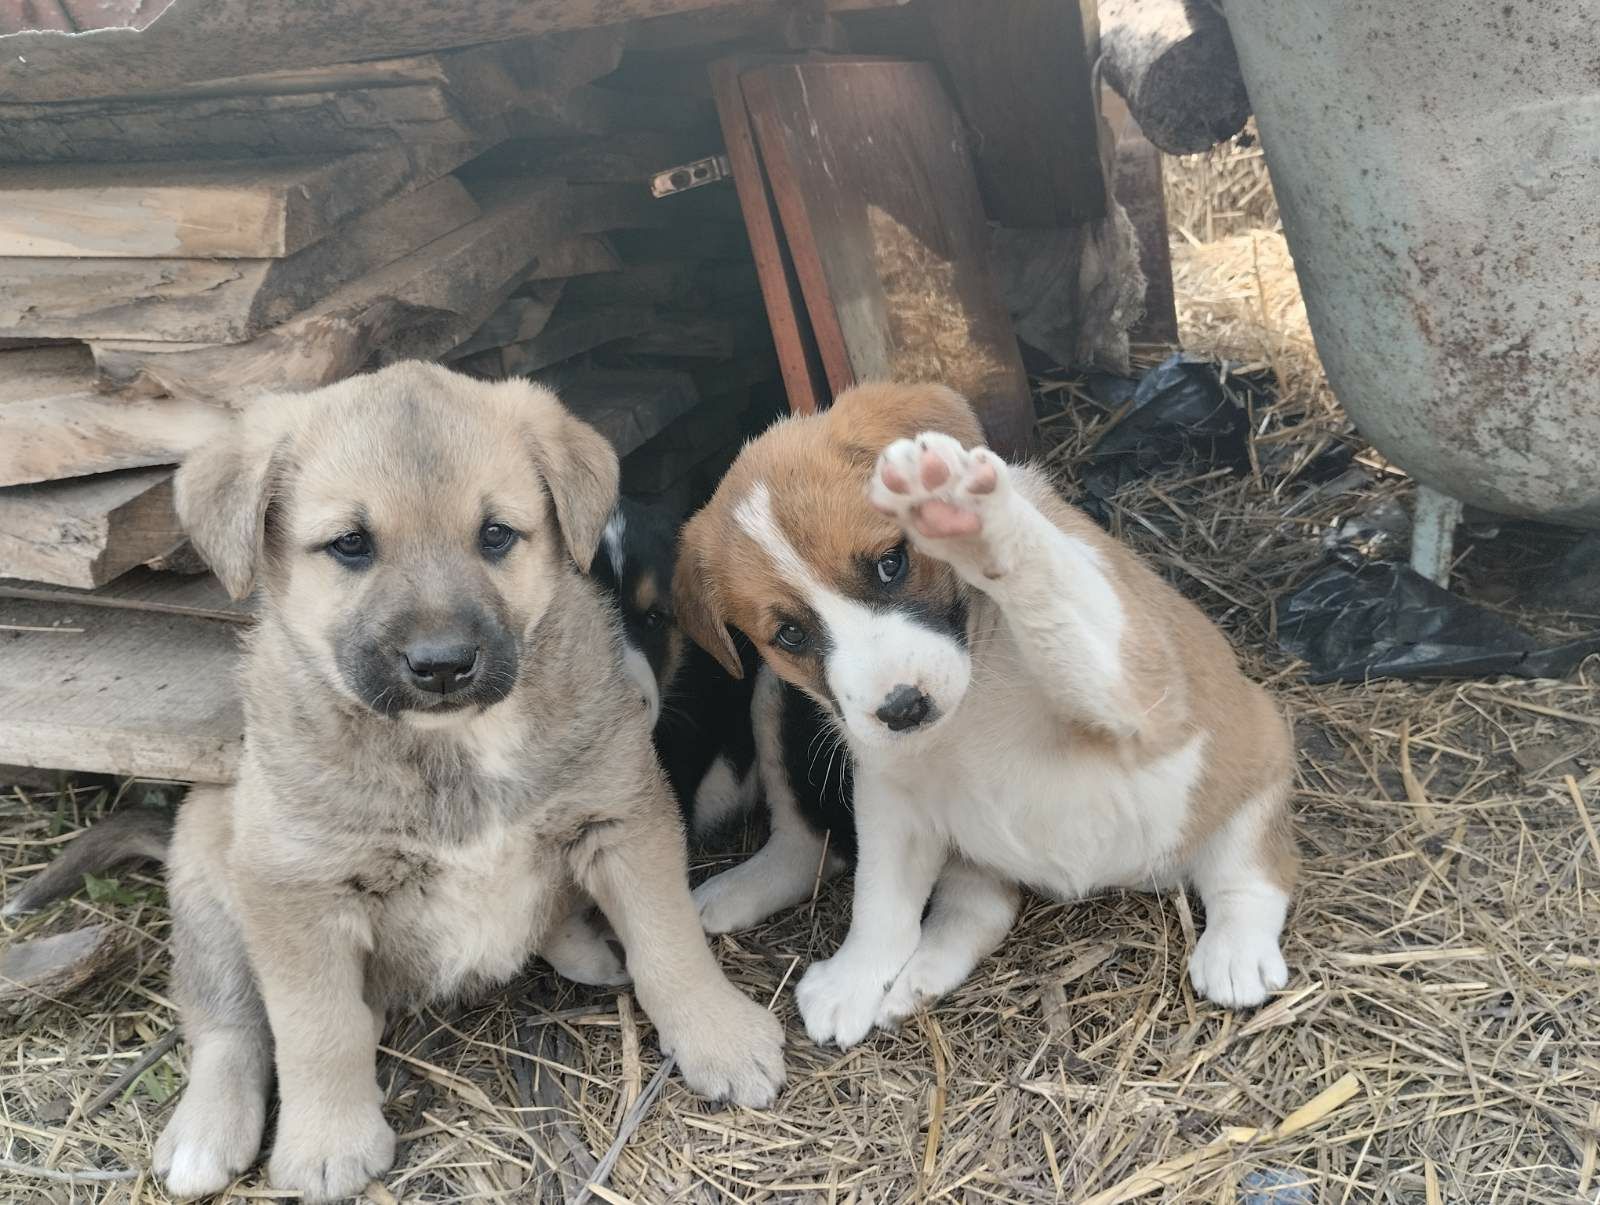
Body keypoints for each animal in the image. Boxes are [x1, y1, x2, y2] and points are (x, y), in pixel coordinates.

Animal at [150, 366, 780, 1203]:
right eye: (350, 544)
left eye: (496, 535)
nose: (443, 662)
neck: (455, 747)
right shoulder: (295, 891)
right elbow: (315, 1027)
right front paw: (328, 1142)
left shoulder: (621, 813)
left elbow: (670, 942)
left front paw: (722, 1037)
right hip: (207, 874)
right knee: (226, 1022)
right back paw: (203, 1134)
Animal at [678, 382, 1299, 1043]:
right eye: (790, 634)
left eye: (891, 564)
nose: (903, 707)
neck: (971, 693)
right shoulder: (891, 798)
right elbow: (881, 902)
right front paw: (856, 977)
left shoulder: (1137, 692)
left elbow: (1052, 585)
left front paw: (969, 514)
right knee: (973, 913)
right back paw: (908, 978)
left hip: (1249, 760)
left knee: (1252, 873)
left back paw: (1236, 951)